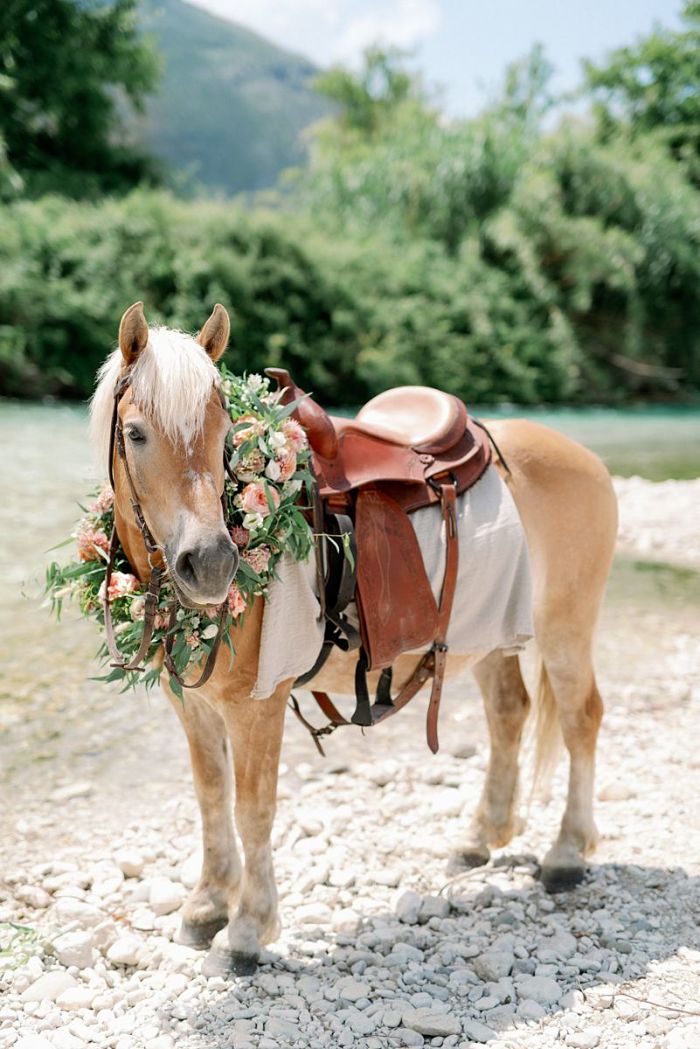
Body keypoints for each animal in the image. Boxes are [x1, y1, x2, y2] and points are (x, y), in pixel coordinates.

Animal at [89, 302, 617, 973]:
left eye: (226, 433)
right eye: (135, 434)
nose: (210, 564)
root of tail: (581, 456)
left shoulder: (257, 705)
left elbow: (253, 807)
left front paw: (248, 929)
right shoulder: (193, 705)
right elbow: (211, 796)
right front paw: (206, 906)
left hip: (565, 627)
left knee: (580, 720)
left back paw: (568, 854)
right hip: (490, 633)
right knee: (509, 714)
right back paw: (478, 840)